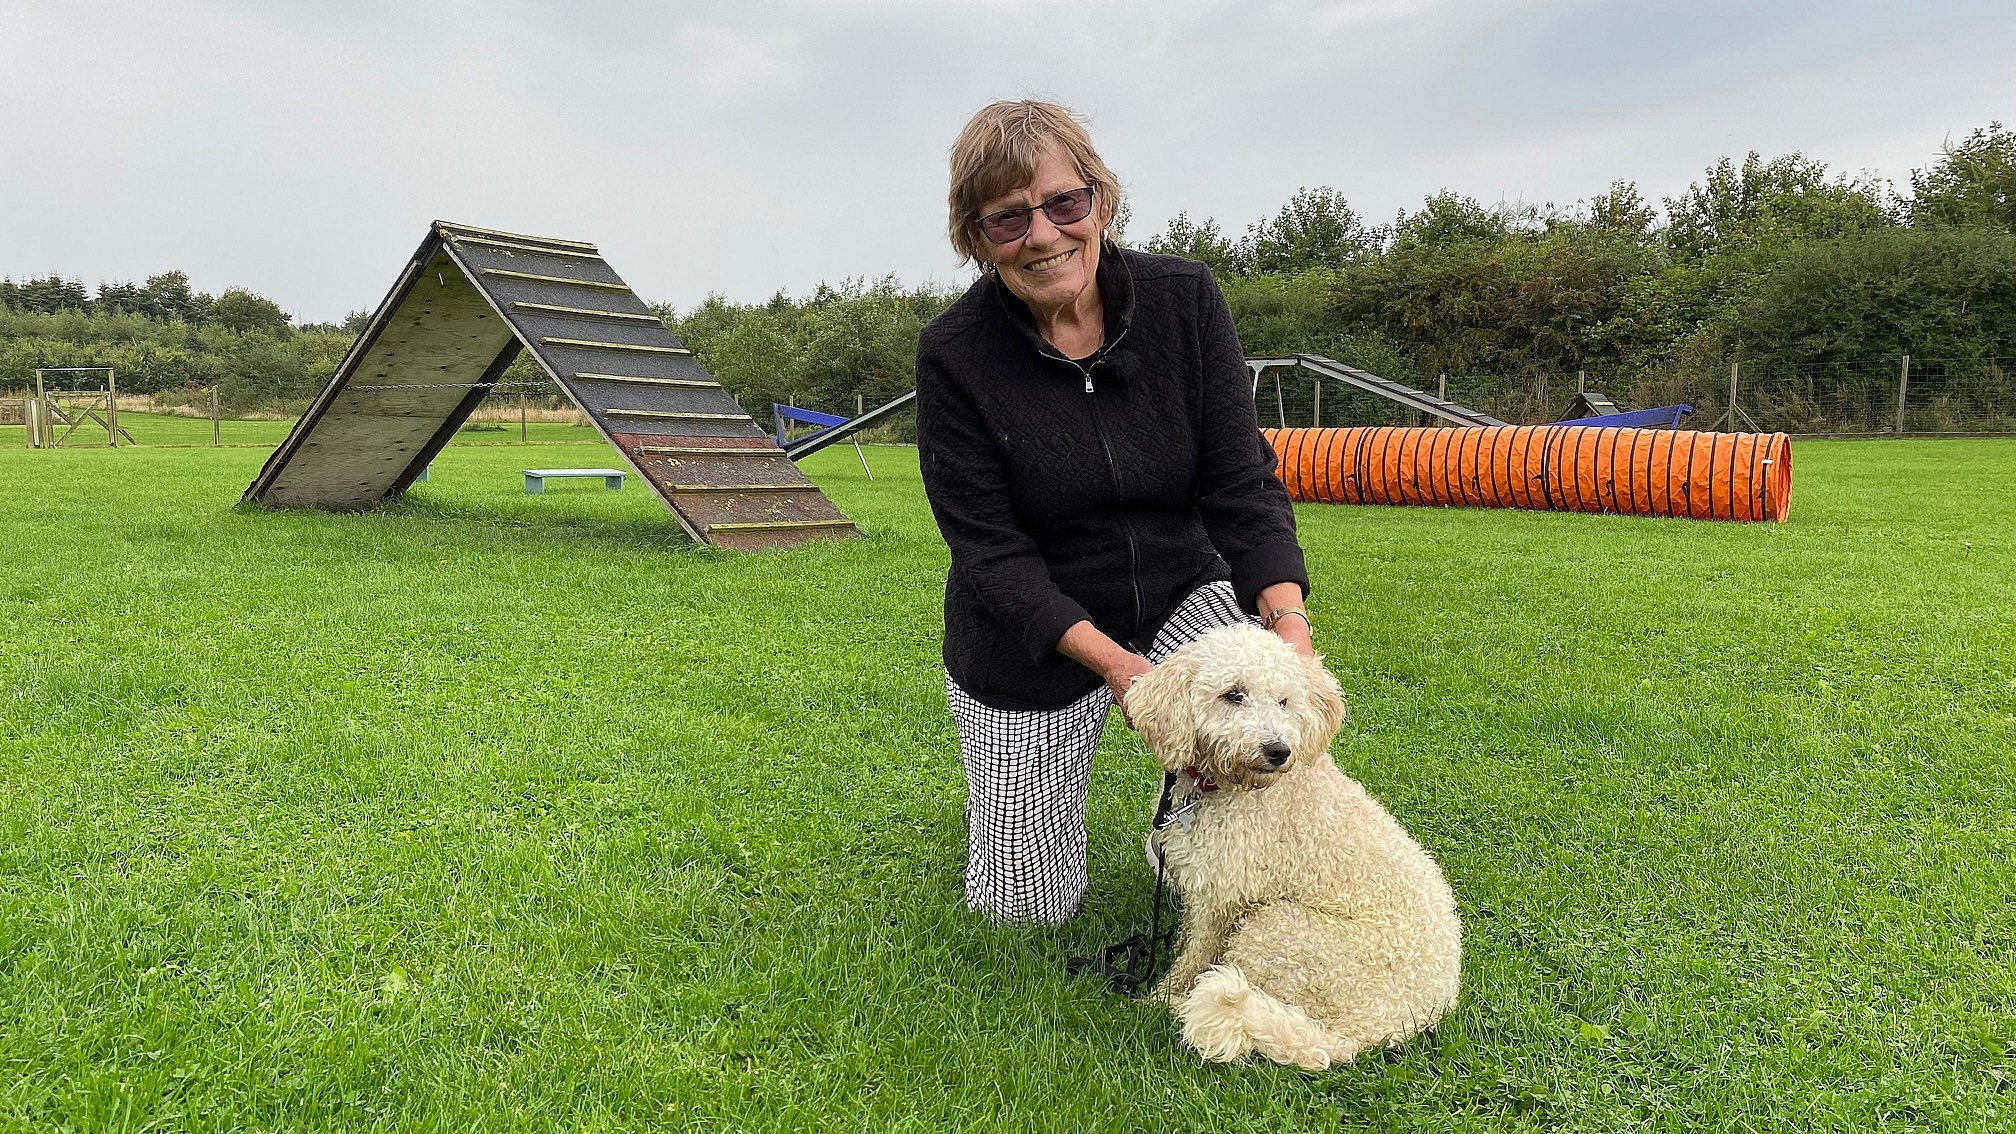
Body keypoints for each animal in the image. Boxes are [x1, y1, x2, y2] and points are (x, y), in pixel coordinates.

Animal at [1128, 621, 1459, 1065]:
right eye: (1233, 694)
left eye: (1284, 701)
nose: (1278, 751)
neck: (1225, 789)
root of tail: (1376, 1030)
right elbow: (1187, 942)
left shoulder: (1221, 898)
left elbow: (1194, 958)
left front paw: (1160, 998)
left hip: (1277, 928)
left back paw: (1183, 1009)